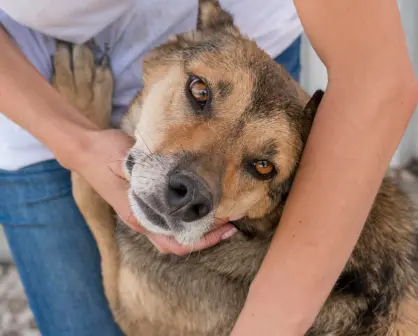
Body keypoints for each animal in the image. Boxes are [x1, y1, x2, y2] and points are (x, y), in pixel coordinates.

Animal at [51, 1, 418, 334]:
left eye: (263, 167)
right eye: (199, 90)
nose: (188, 198)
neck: (258, 229)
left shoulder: (132, 314)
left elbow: (90, 199)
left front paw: (79, 93)